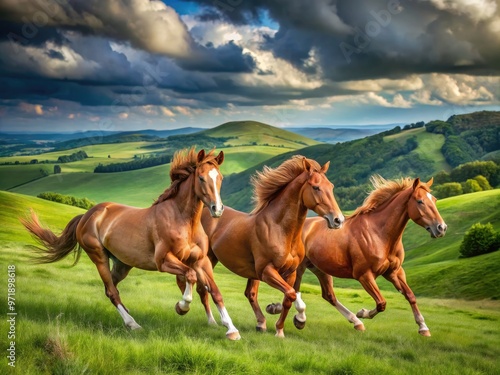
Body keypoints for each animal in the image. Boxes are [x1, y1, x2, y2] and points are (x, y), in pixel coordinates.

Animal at [22, 148, 241, 340]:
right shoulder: (164, 261)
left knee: (111, 288)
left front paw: (231, 330)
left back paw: (129, 316)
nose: (217, 209)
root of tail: (86, 215)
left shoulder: (201, 261)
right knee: (112, 291)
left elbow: (215, 291)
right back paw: (132, 324)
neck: (183, 221)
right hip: (99, 257)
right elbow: (190, 276)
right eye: (201, 178)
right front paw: (181, 307)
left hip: (122, 264)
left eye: (220, 178)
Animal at [191, 156, 344, 338]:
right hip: (207, 259)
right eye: (316, 187)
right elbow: (292, 294)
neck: (280, 229)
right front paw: (298, 321)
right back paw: (211, 321)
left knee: (248, 293)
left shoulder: (290, 272)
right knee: (202, 288)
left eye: (331, 186)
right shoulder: (266, 271)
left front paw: (280, 329)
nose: (338, 220)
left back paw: (260, 323)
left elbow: (289, 299)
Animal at [272, 176, 448, 338]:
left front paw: (423, 328)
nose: (441, 228)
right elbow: (382, 303)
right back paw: (297, 318)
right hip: (299, 268)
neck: (379, 234)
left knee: (327, 295)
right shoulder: (364, 275)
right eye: (420, 201)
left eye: (434, 199)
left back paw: (355, 322)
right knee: (294, 291)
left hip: (319, 268)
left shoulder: (394, 272)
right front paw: (363, 312)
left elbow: (410, 296)